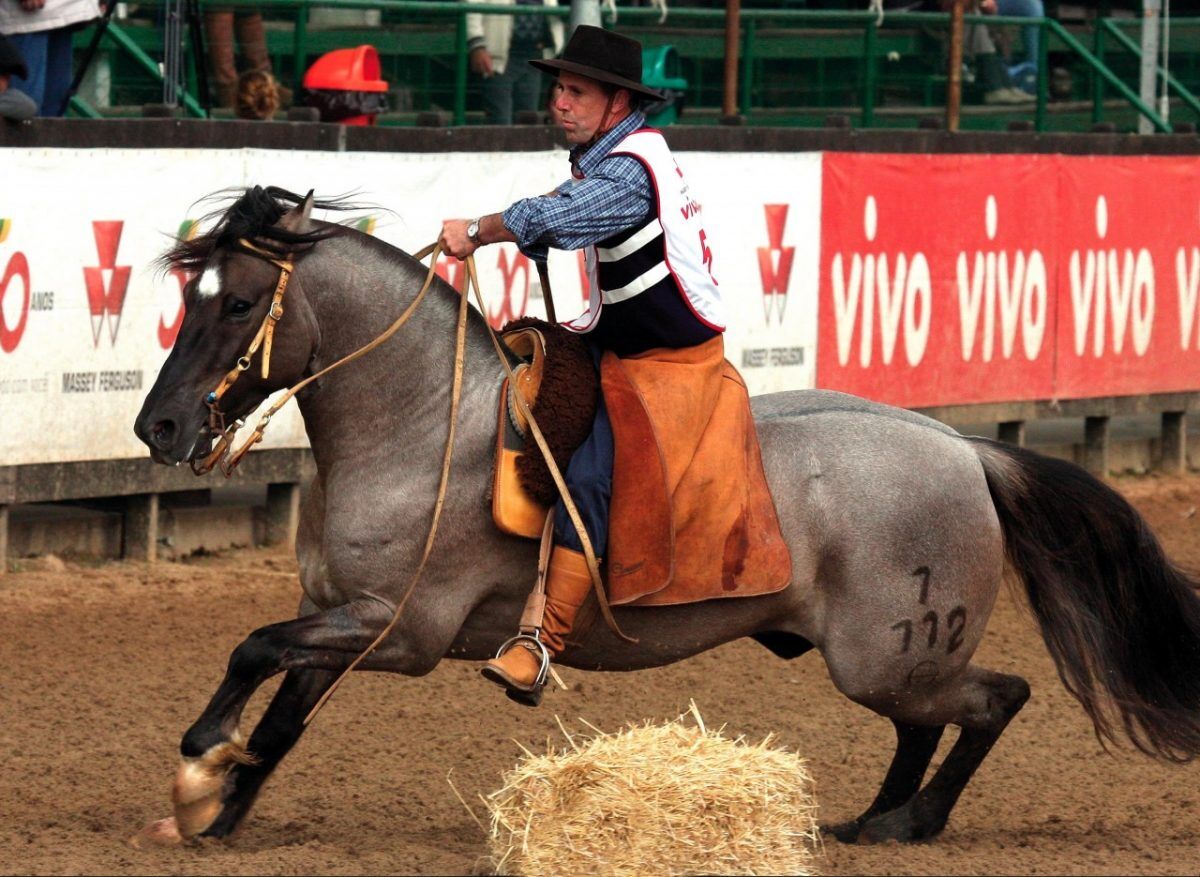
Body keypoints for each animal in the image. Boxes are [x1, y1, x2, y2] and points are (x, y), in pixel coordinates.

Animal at [136, 187, 1200, 849]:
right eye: (188, 295)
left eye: (238, 302)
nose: (161, 424)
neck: (423, 426)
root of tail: (966, 448)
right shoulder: (345, 622)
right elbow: (279, 715)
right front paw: (217, 808)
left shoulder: (397, 630)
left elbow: (250, 649)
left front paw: (197, 762)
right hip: (890, 661)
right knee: (926, 724)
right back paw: (873, 818)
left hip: (890, 653)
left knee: (992, 701)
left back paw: (912, 820)